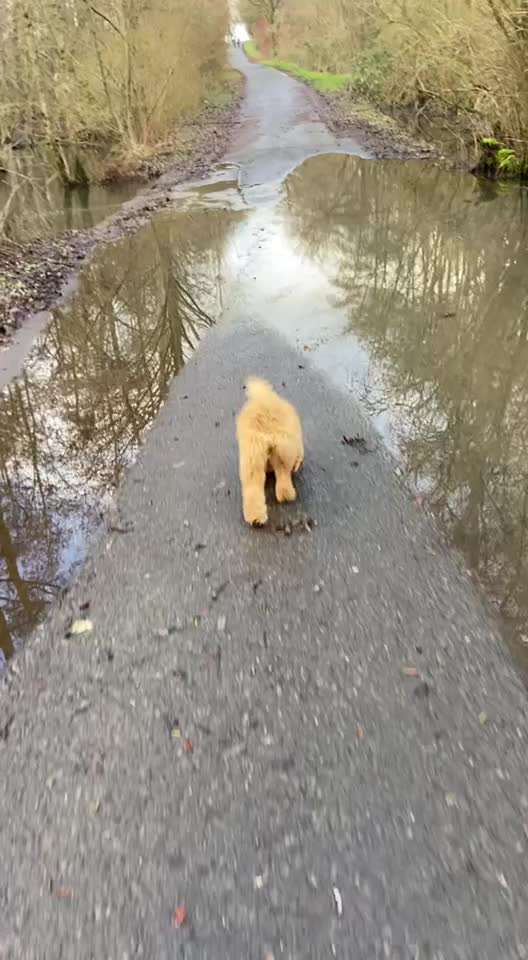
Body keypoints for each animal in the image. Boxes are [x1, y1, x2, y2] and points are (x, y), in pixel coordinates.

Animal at [236, 376, 304, 524]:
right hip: (282, 450)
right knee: (283, 475)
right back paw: (286, 495)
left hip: (254, 455)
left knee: (253, 483)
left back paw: (256, 518)